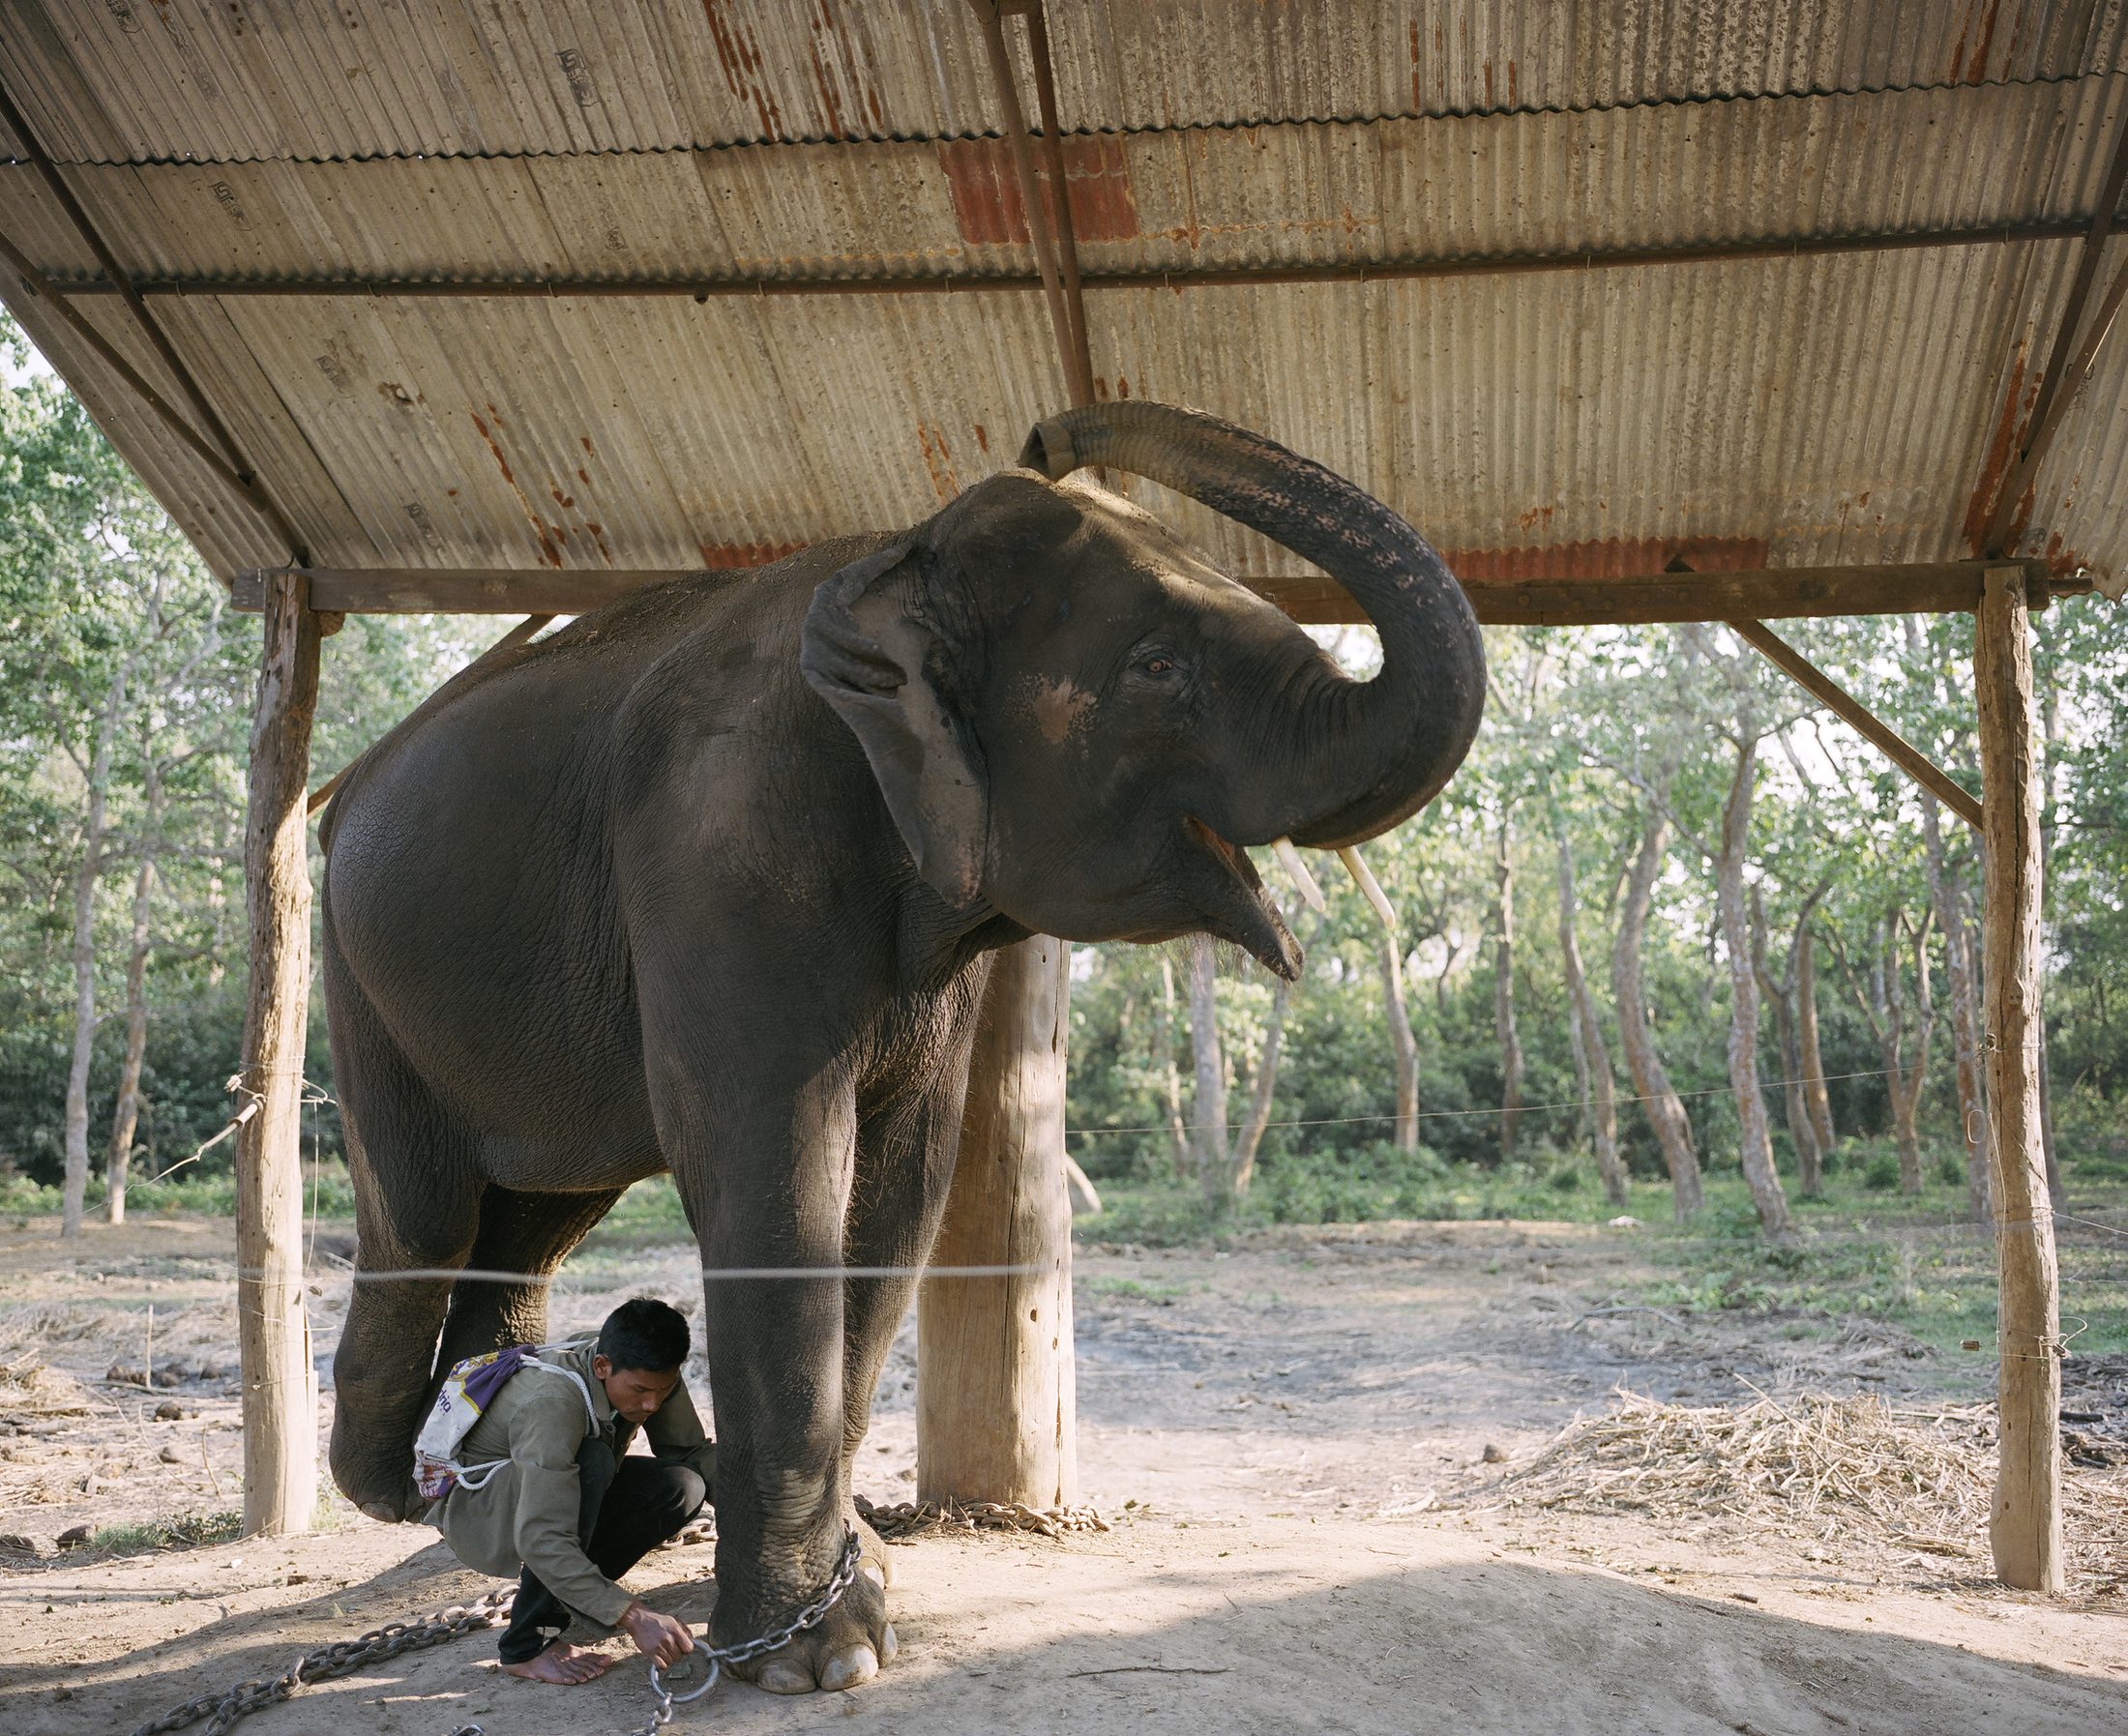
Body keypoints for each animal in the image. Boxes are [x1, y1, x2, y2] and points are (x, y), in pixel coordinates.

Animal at [320, 401, 1484, 1692]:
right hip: (357, 975)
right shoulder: (718, 847)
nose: (1050, 432)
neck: (892, 562)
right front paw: (805, 1658)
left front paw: (856, 1589)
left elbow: (901, 1186)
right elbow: (775, 1178)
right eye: (1157, 669)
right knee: (427, 1222)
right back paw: (416, 1485)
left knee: (532, 1222)